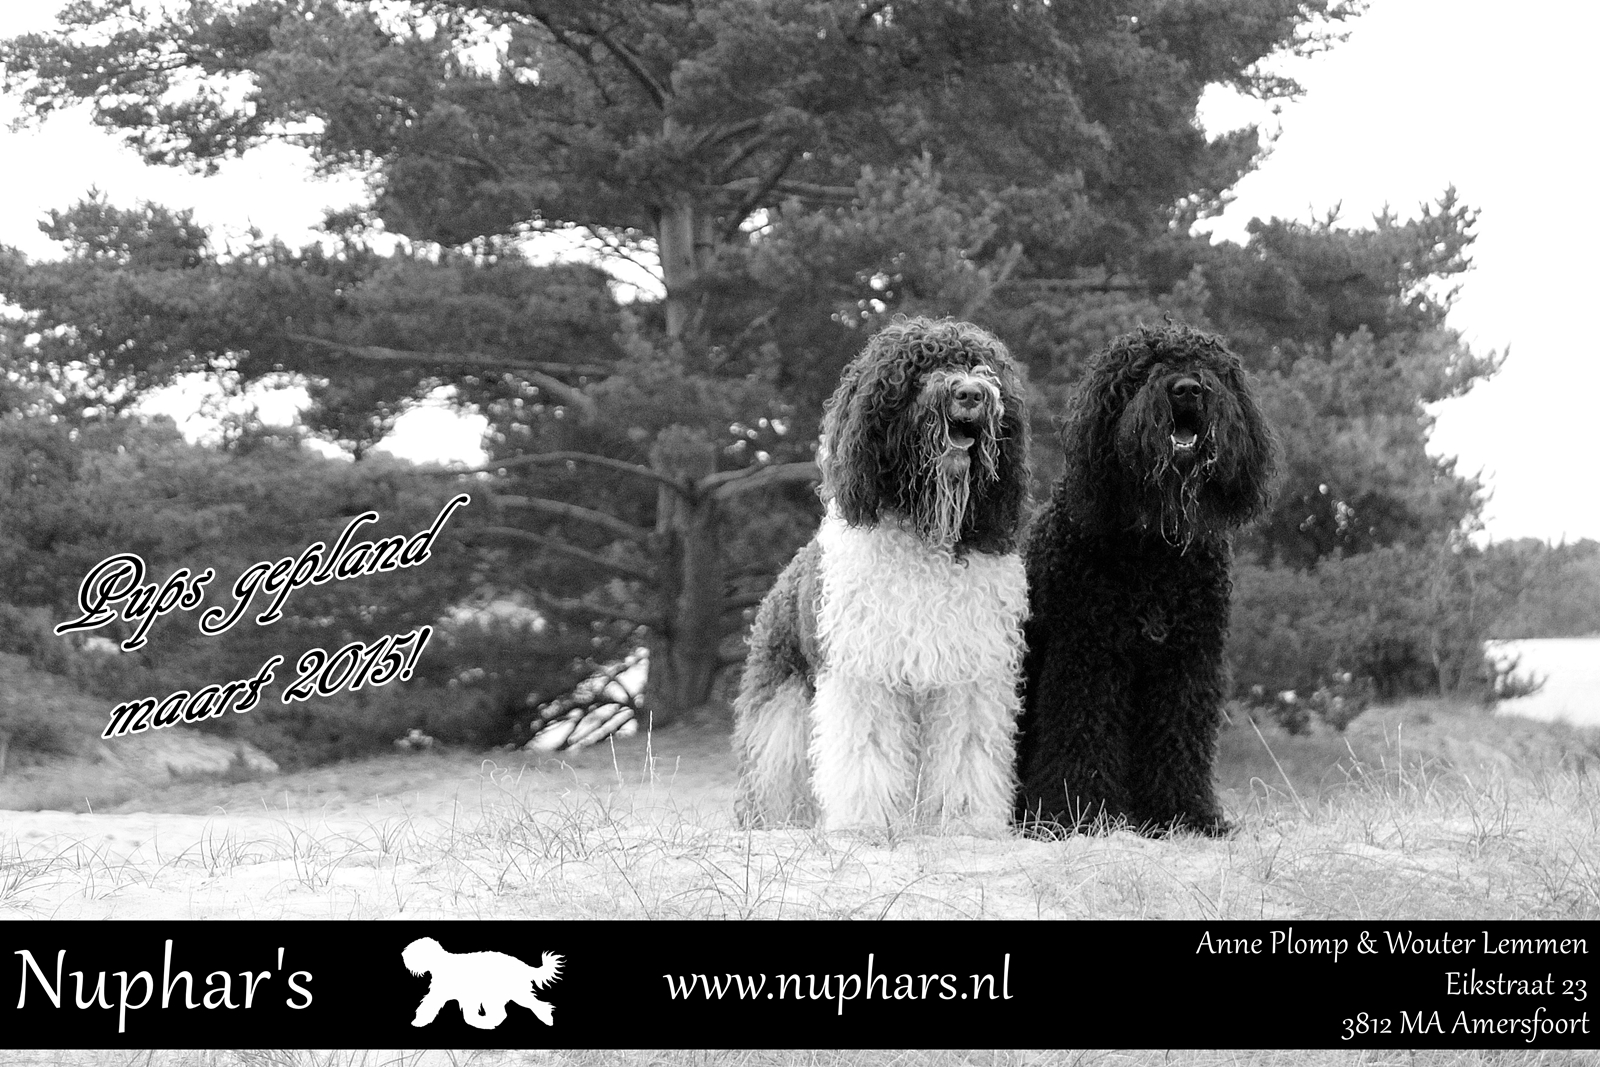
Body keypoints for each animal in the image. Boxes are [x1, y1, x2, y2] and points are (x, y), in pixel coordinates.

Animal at [733, 317, 1030, 832]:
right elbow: (865, 751)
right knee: (775, 764)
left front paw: (965, 821)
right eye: (920, 369)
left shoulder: (969, 677)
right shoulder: (866, 673)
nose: (971, 393)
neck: (924, 532)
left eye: (982, 366)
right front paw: (865, 823)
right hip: (782, 698)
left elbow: (966, 752)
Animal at [1014, 322, 1276, 836]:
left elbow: (1180, 738)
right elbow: (1084, 732)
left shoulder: (1186, 663)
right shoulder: (1090, 656)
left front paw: (1186, 814)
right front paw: (1081, 812)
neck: (1155, 550)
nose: (1188, 389)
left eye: (1212, 368)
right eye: (1143, 371)